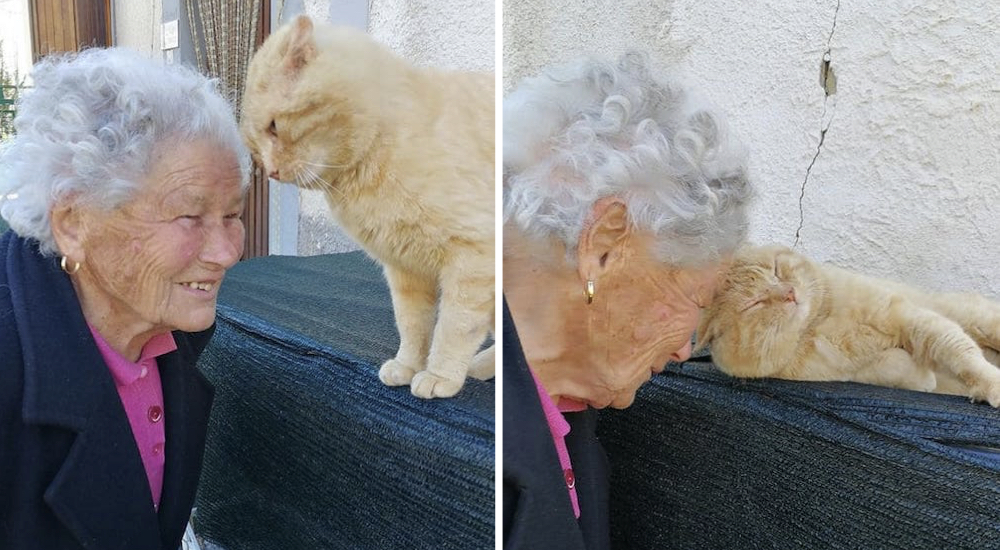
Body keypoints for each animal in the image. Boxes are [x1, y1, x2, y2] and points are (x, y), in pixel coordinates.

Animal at [240, 15, 494, 398]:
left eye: (273, 127)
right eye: (255, 144)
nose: (271, 172)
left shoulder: (474, 259)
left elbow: (454, 325)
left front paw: (440, 375)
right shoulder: (406, 271)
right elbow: (412, 325)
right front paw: (408, 365)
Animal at [696, 245, 1000, 406]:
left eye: (777, 270)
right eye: (754, 303)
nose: (789, 292)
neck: (819, 324)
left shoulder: (910, 318)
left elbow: (960, 352)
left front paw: (991, 385)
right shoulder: (847, 372)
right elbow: (889, 367)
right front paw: (923, 379)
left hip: (978, 318)